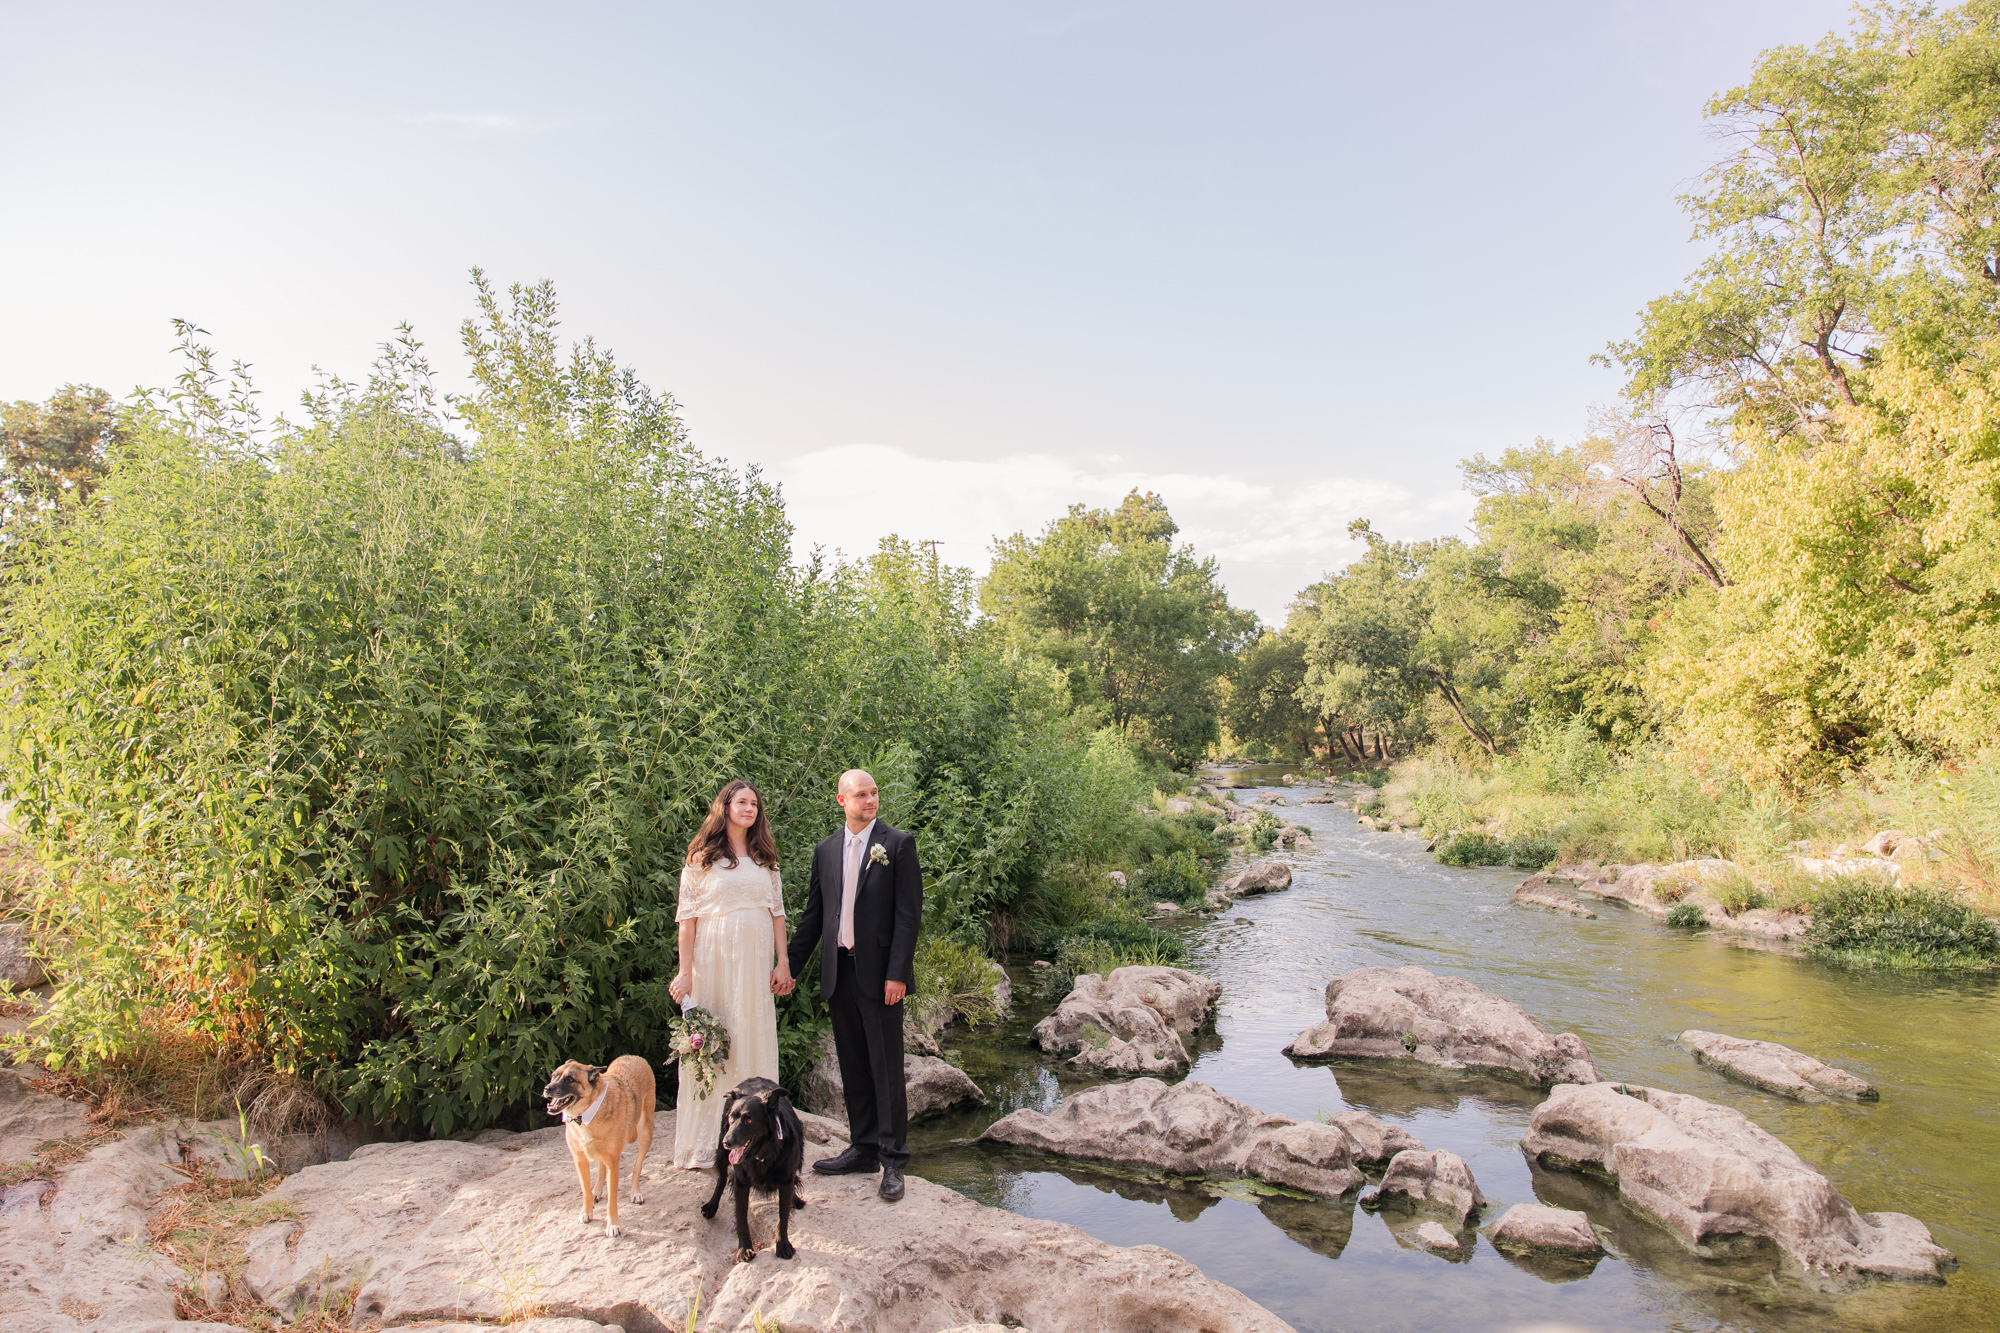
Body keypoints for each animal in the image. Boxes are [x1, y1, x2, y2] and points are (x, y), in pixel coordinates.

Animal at [540, 1056, 656, 1232]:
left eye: (570, 1079)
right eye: (554, 1076)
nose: (547, 1088)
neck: (584, 1116)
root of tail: (634, 1057)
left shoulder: (613, 1162)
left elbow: (612, 1200)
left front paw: (613, 1225)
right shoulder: (580, 1159)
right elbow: (585, 1190)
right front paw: (586, 1212)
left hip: (645, 1132)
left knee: (637, 1166)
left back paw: (635, 1192)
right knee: (601, 1168)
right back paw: (597, 1190)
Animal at [700, 1072, 800, 1256]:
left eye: (748, 1120)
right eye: (732, 1117)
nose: (727, 1142)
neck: (763, 1153)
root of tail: (755, 1077)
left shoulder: (786, 1180)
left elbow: (783, 1217)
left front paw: (783, 1245)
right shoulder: (741, 1183)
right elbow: (741, 1218)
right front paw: (744, 1249)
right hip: (722, 1152)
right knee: (722, 1178)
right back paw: (711, 1205)